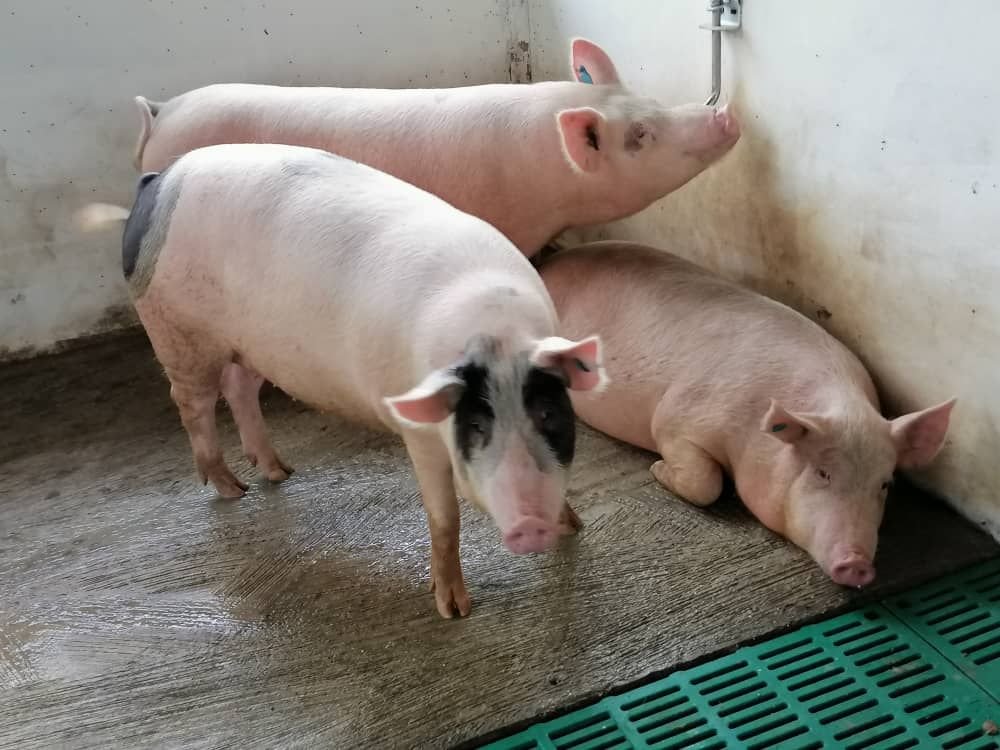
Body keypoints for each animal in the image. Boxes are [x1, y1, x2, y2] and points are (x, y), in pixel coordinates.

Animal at [77, 143, 608, 618]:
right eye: (476, 426)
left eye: (548, 414)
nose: (531, 525)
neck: (494, 336)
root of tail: (156, 182)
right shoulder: (418, 435)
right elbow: (444, 518)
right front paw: (453, 610)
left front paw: (574, 527)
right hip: (179, 333)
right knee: (192, 404)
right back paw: (233, 489)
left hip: (250, 344)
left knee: (239, 390)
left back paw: (279, 472)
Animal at [539, 241, 956, 588]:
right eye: (823, 473)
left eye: (885, 484)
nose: (857, 564)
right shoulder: (676, 418)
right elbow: (705, 483)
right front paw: (656, 469)